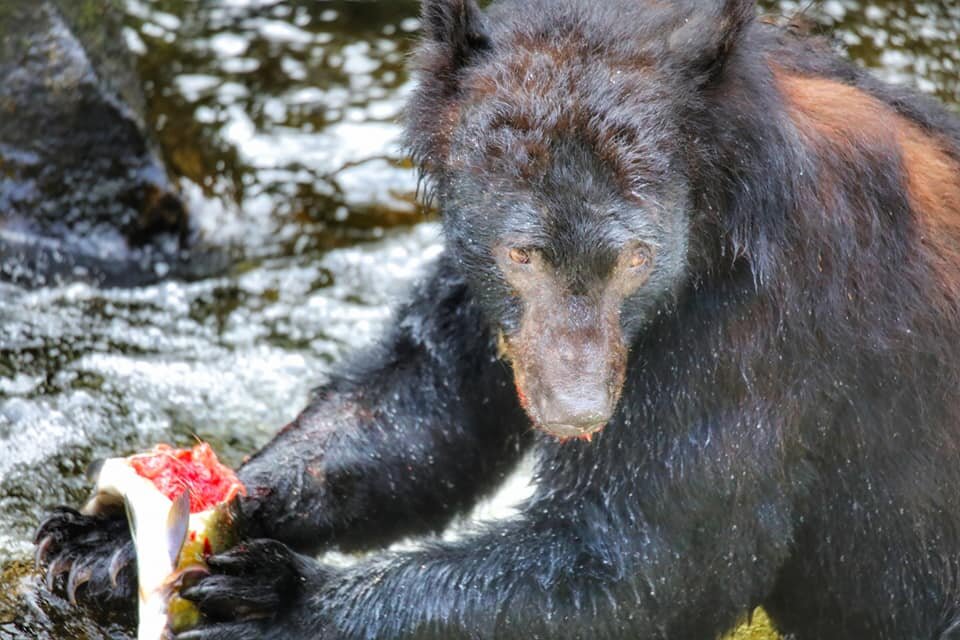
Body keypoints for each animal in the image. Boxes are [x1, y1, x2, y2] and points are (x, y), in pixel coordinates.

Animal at [33, 0, 960, 636]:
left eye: (634, 256)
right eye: (523, 253)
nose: (576, 408)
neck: (719, 212)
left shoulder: (772, 320)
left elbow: (644, 556)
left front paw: (271, 597)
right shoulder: (482, 292)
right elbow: (420, 404)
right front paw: (108, 540)